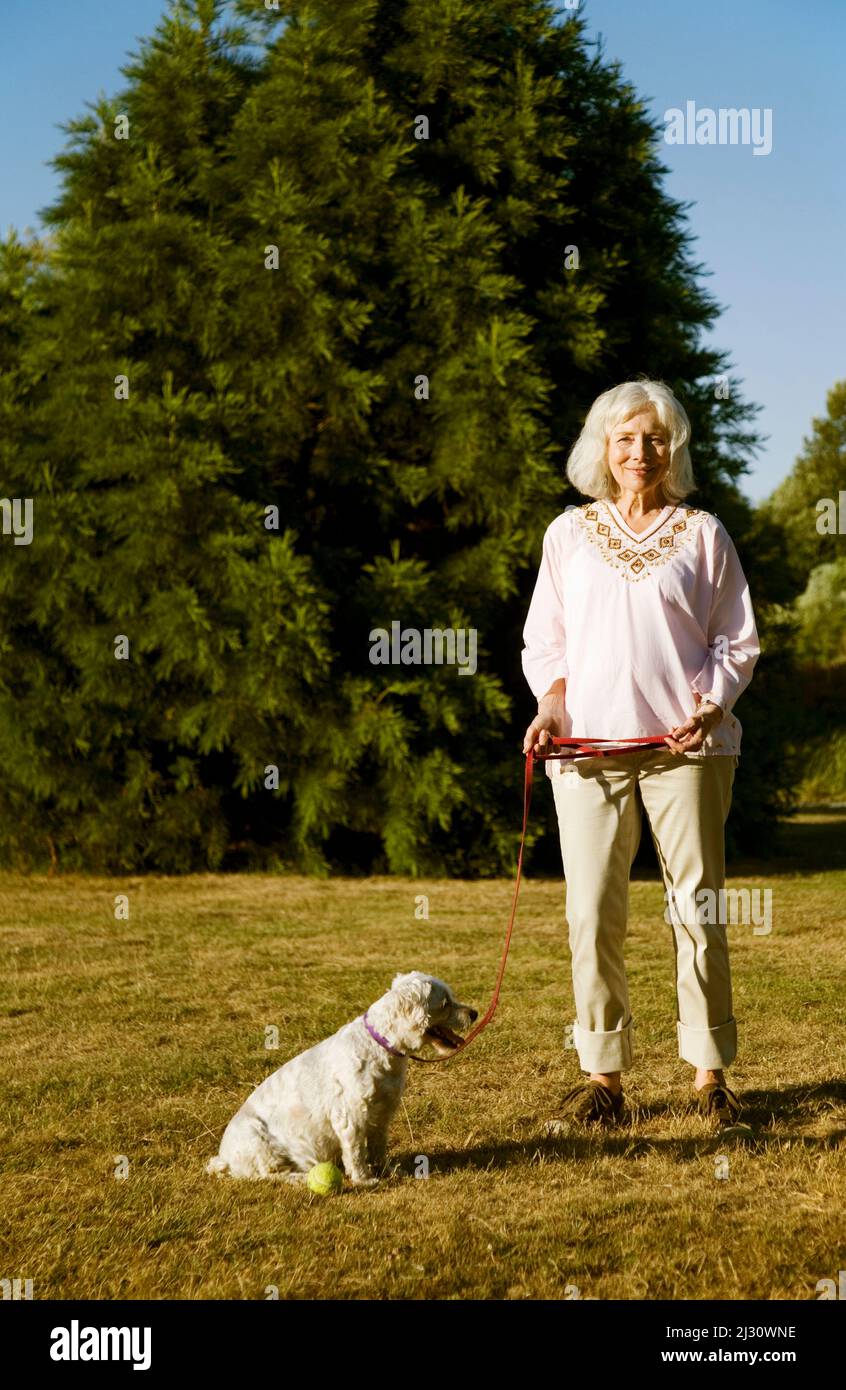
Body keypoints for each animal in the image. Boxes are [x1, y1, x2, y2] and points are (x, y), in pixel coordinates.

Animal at [205, 973, 475, 1189]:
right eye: (445, 1003)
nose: (474, 1013)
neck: (380, 1046)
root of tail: (224, 1160)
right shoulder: (351, 1116)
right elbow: (356, 1152)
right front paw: (365, 1180)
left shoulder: (382, 1114)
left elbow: (378, 1149)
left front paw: (389, 1171)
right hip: (258, 1139)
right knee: (267, 1175)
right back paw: (299, 1178)